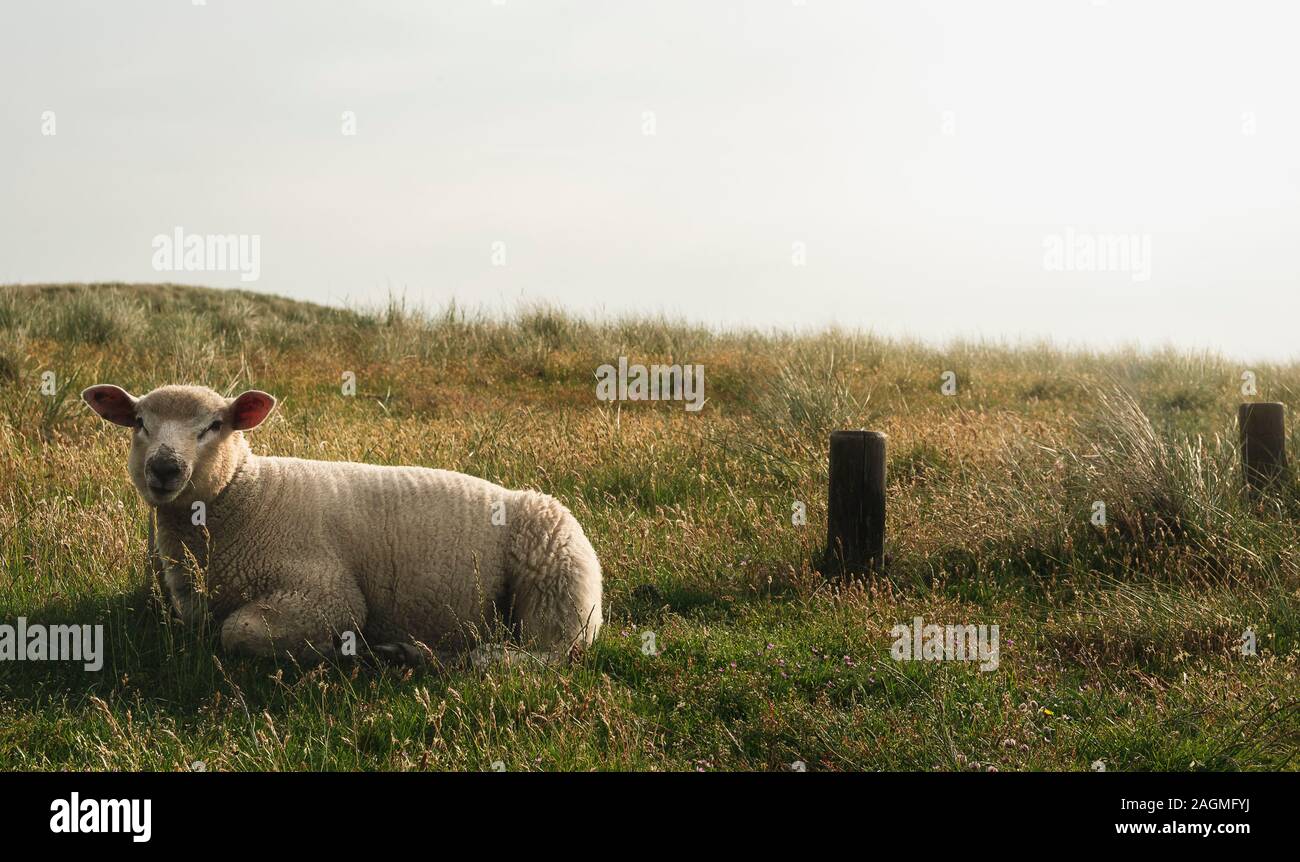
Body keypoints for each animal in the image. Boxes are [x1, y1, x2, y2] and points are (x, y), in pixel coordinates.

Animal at [83, 384, 600, 665]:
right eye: (140, 422)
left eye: (214, 426)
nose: (164, 468)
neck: (245, 497)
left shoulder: (325, 595)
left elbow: (236, 631)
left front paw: (332, 651)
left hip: (558, 582)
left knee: (551, 654)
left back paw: (462, 659)